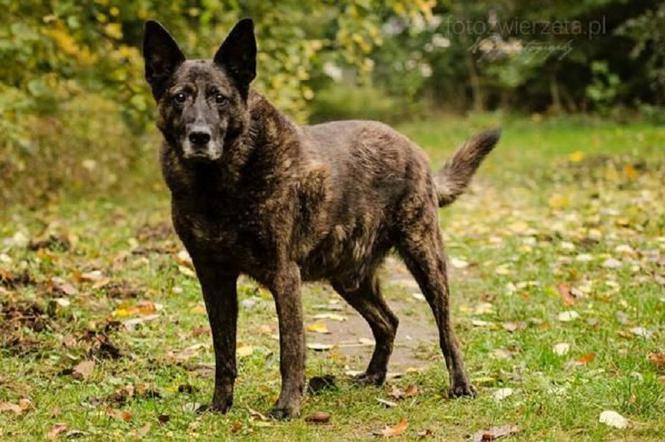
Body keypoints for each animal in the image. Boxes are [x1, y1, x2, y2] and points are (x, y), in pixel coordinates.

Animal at [143, 18, 500, 418]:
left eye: (220, 97)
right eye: (180, 97)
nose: (199, 136)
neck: (217, 185)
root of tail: (411, 147)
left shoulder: (284, 274)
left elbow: (291, 349)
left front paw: (287, 406)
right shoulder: (213, 276)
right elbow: (224, 351)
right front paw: (221, 405)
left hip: (424, 256)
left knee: (446, 329)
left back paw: (460, 384)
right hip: (348, 277)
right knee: (388, 322)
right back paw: (373, 376)